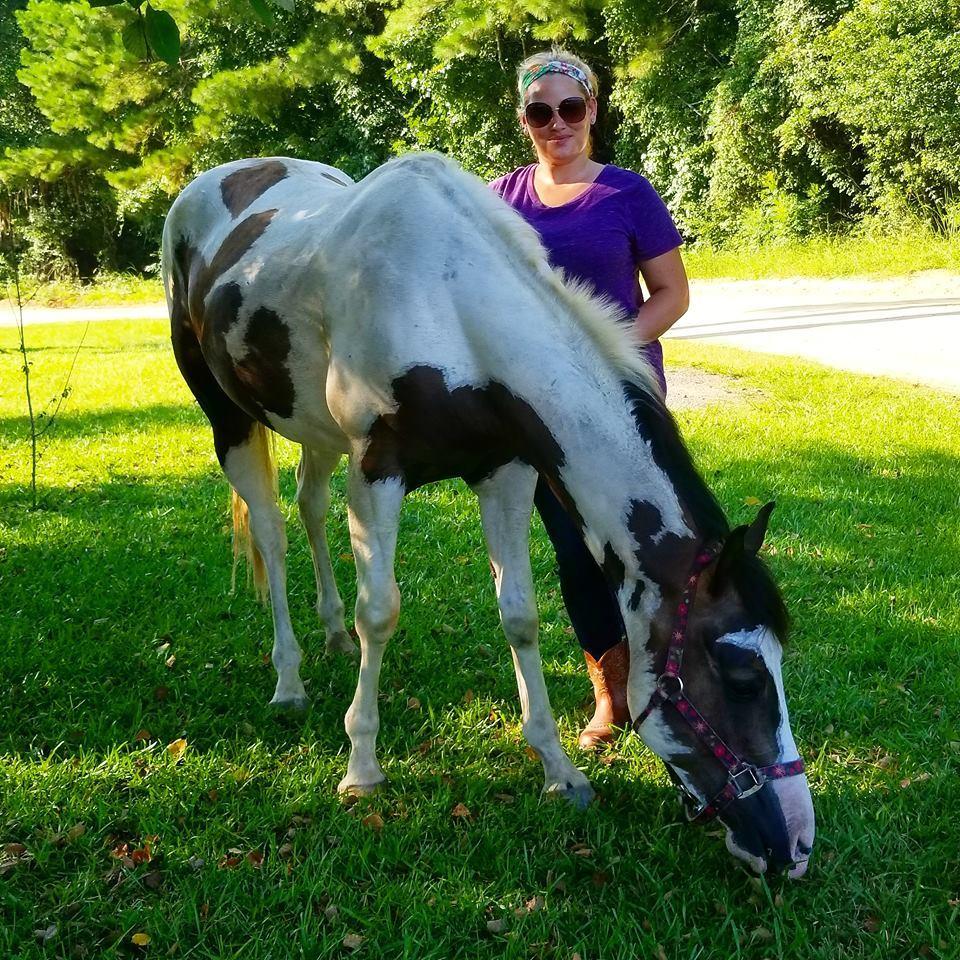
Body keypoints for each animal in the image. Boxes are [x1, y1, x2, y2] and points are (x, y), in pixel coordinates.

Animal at [161, 151, 815, 877]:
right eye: (742, 678)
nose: (795, 847)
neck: (448, 306)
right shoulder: (377, 471)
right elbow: (380, 612)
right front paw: (361, 766)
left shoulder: (506, 472)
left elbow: (520, 616)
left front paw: (559, 770)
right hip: (231, 420)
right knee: (272, 535)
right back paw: (289, 679)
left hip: (312, 428)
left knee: (309, 504)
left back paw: (331, 636)